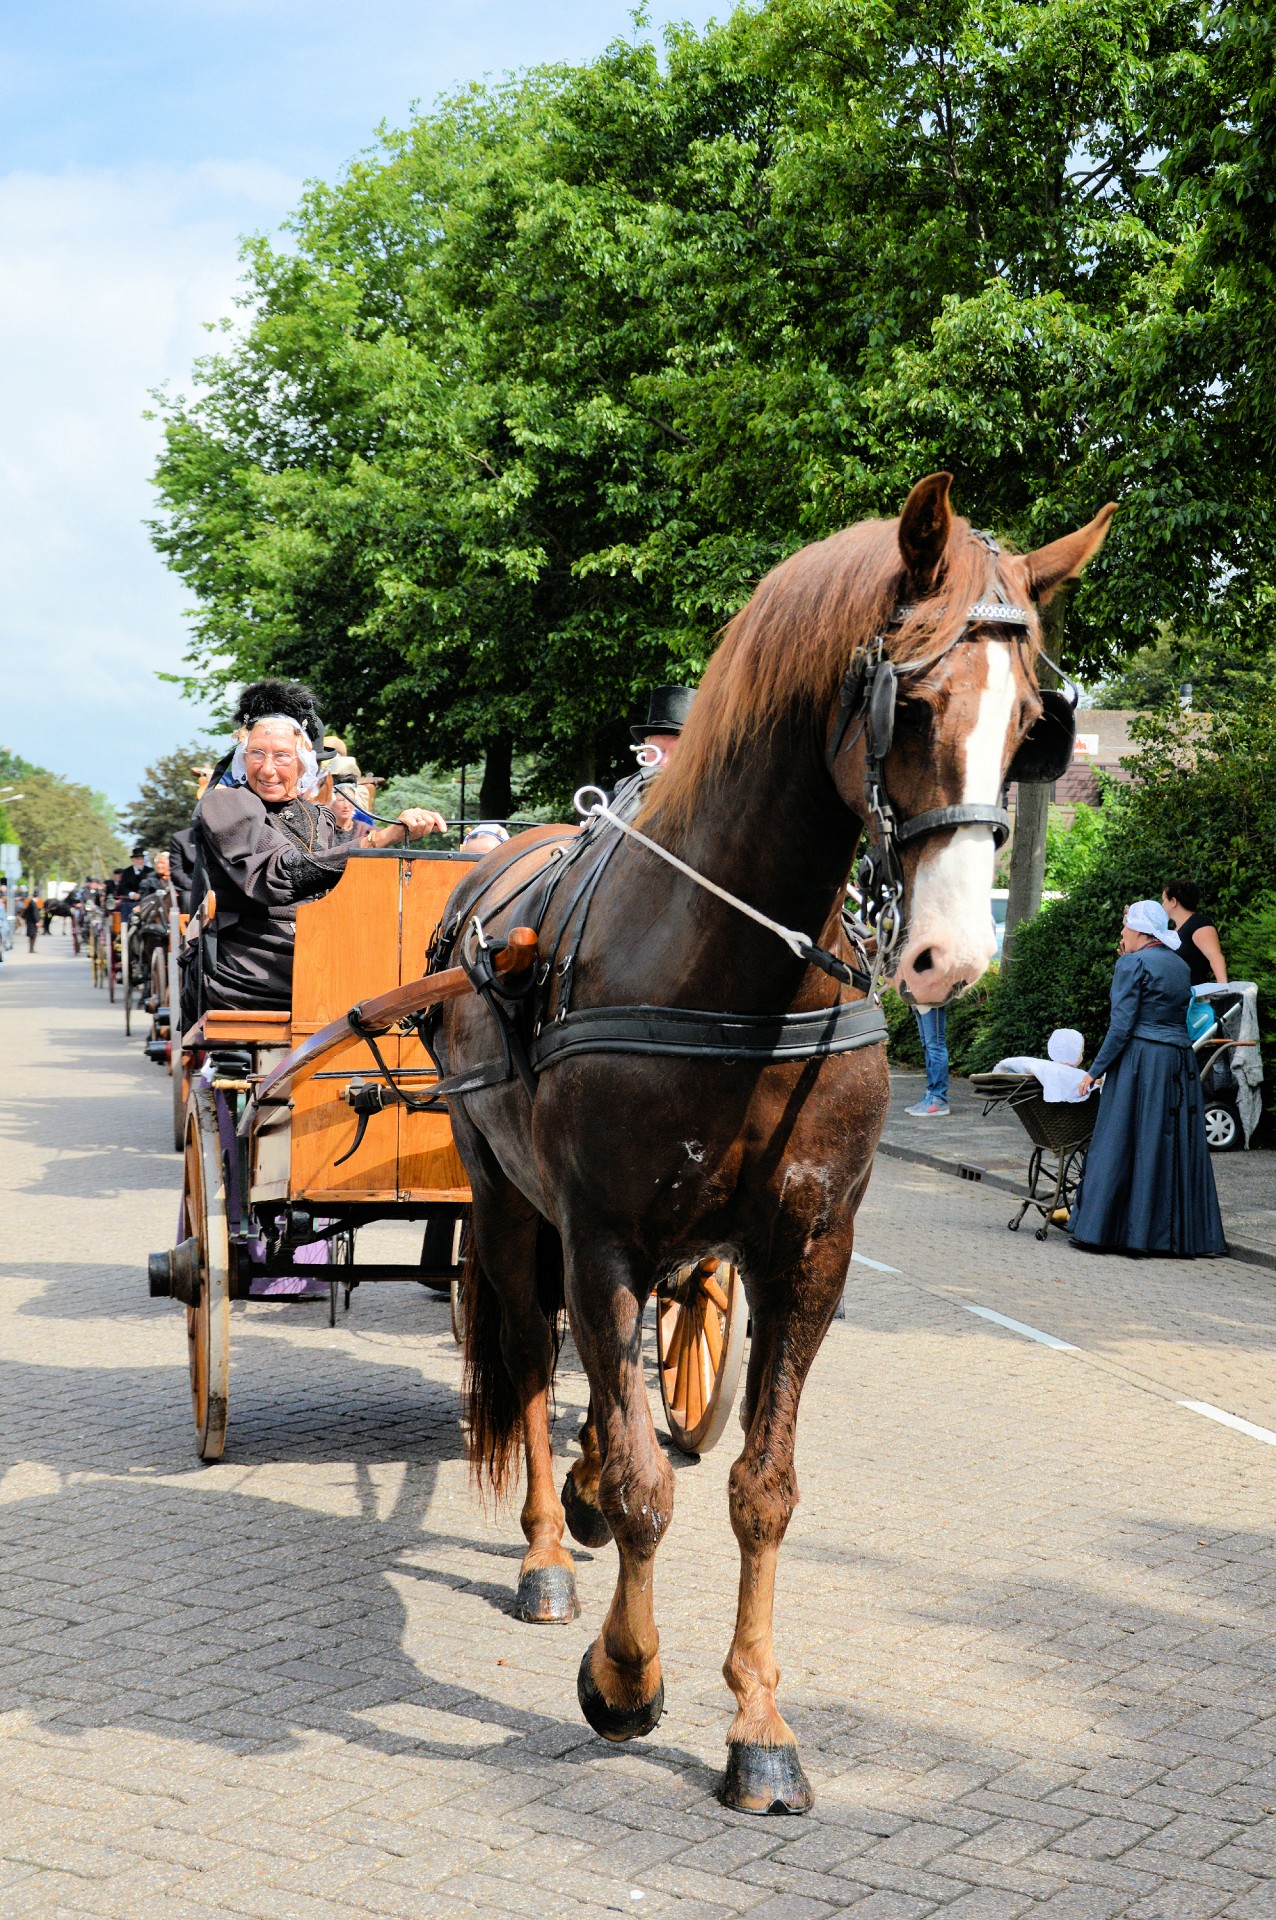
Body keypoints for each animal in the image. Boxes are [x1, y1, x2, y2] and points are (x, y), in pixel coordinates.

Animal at [433, 472, 1112, 1804]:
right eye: (915, 702)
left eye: (1032, 725)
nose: (952, 959)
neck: (730, 970)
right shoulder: (600, 1237)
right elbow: (648, 1485)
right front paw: (626, 1677)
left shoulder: (807, 1252)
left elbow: (759, 1488)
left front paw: (757, 1723)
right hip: (505, 1204)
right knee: (532, 1365)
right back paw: (547, 1554)